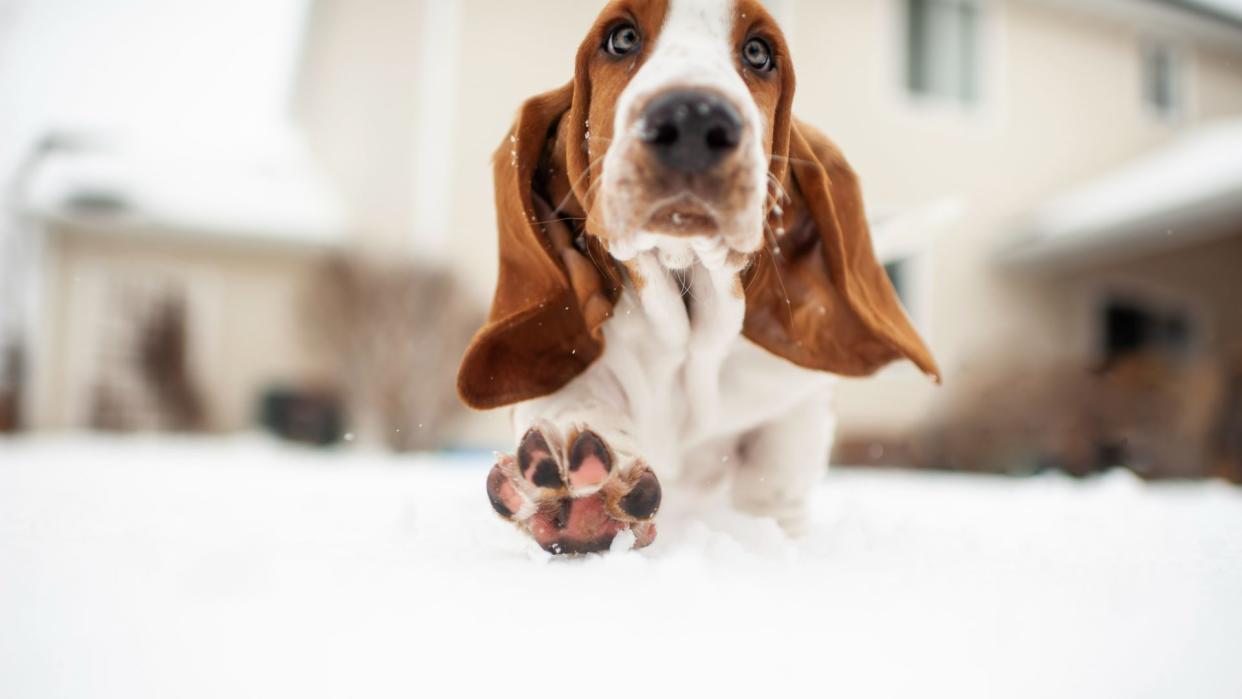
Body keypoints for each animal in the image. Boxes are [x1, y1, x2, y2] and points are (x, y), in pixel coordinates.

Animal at [462, 1, 933, 558]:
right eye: (621, 38)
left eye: (759, 52)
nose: (692, 118)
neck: (686, 337)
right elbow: (575, 397)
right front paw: (577, 493)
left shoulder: (796, 403)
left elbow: (774, 483)